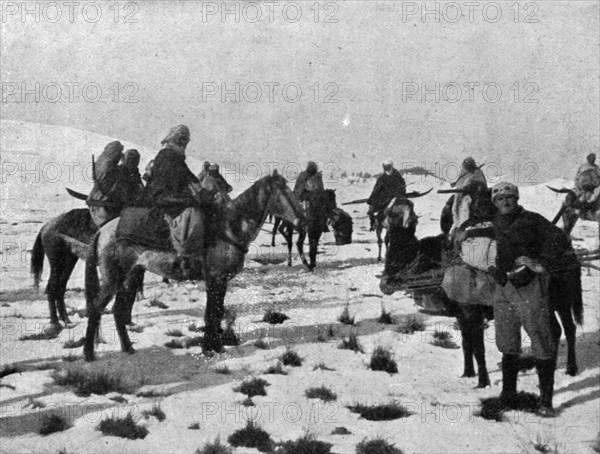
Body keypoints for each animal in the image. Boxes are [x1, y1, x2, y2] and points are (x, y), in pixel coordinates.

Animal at [83, 171, 304, 362]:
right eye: (284, 190)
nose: (302, 218)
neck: (229, 228)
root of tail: (103, 230)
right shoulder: (216, 279)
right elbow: (212, 314)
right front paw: (211, 348)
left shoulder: (219, 281)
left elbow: (215, 314)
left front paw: (214, 346)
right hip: (113, 278)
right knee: (96, 307)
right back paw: (88, 353)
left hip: (130, 277)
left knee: (118, 310)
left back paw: (127, 347)